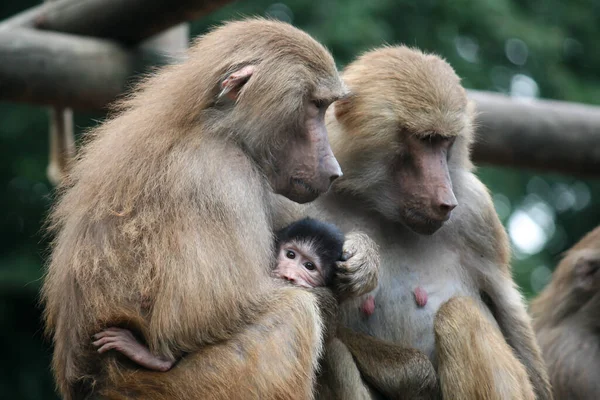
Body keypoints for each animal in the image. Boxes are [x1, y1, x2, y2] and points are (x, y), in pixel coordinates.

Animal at [43, 19, 380, 400]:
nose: (334, 170)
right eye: (315, 106)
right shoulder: (217, 173)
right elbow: (195, 316)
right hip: (195, 385)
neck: (214, 126)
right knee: (294, 314)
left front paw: (362, 259)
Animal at [274, 45, 552, 398]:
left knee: (459, 315)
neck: (376, 204)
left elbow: (508, 310)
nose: (445, 200)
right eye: (424, 139)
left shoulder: (476, 210)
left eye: (446, 141)